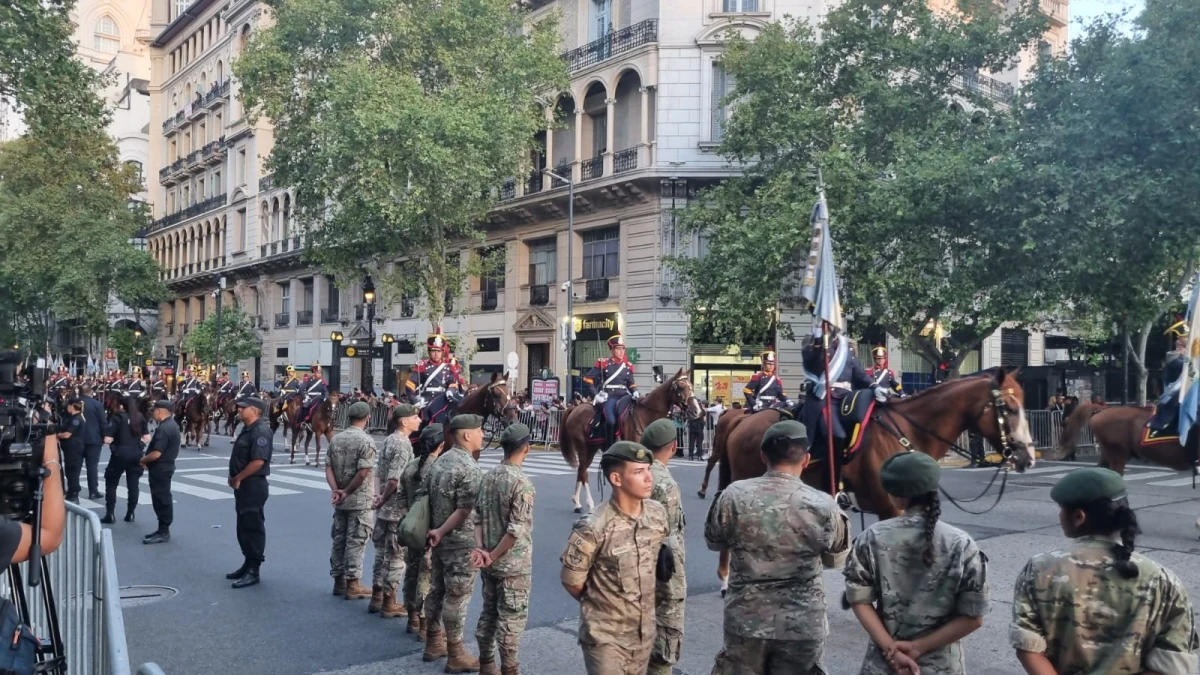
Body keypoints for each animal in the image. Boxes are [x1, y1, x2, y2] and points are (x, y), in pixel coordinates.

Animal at [559, 367, 700, 509]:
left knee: (580, 471)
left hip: (591, 448)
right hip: (583, 447)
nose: (697, 411)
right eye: (681, 387)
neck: (646, 414)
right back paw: (590, 503)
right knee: (583, 472)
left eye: (691, 386)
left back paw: (577, 502)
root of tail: (575, 408)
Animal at [705, 365, 1036, 590]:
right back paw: (725, 577)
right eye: (1009, 408)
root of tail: (742, 419)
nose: (1028, 458)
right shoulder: (890, 508)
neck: (907, 431)